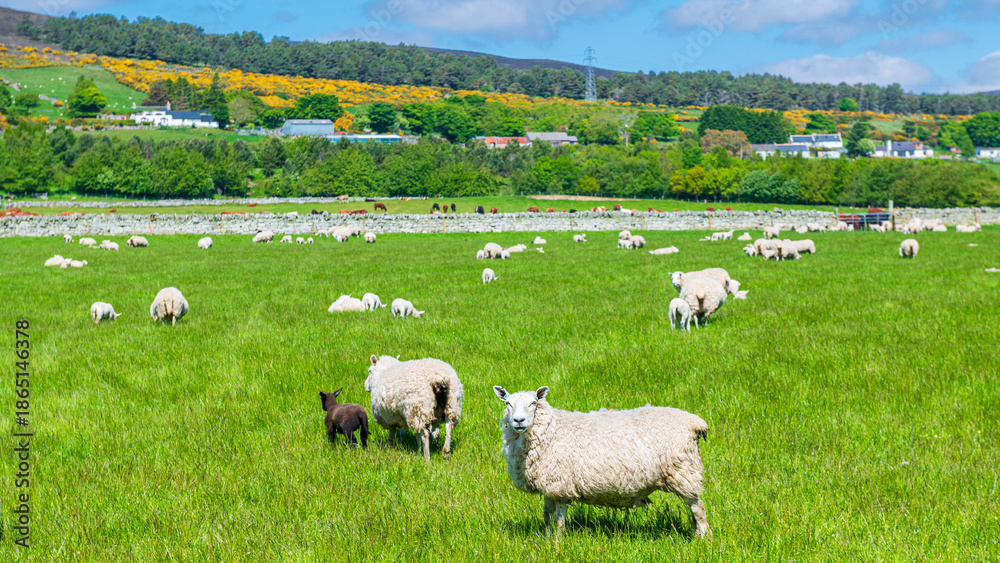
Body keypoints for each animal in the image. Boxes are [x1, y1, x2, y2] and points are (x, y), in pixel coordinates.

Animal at [492, 386, 711, 538]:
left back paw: (703, 538)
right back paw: (695, 534)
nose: (518, 421)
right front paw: (547, 539)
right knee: (694, 509)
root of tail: (695, 423)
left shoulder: (561, 485)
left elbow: (560, 519)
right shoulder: (549, 486)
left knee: (697, 507)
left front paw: (558, 542)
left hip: (683, 471)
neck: (552, 429)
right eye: (508, 403)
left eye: (533, 403)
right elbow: (547, 517)